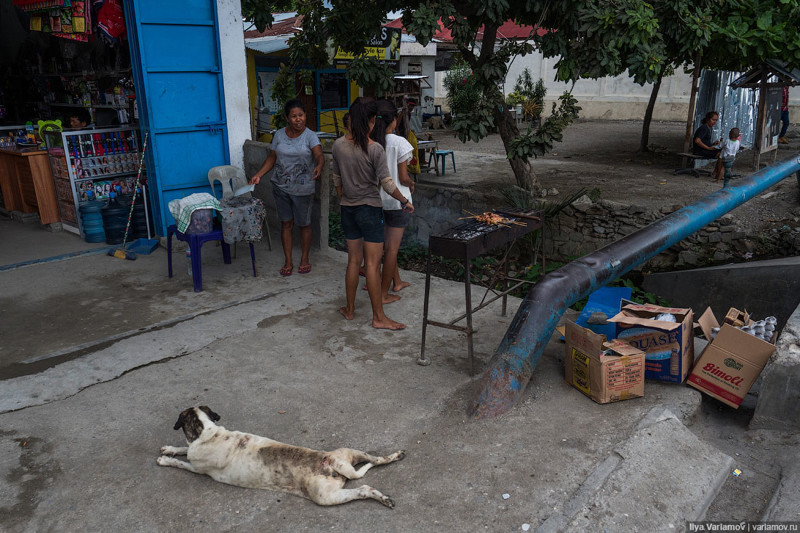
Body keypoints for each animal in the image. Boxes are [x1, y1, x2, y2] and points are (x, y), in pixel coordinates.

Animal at [156, 408, 406, 508]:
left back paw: (382, 498)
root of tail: (330, 462)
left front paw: (166, 460)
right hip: (350, 453)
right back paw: (395, 457)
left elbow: (181, 461)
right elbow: (182, 448)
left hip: (325, 496)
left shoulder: (197, 467)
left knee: (363, 489)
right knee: (376, 461)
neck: (209, 431)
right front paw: (169, 448)